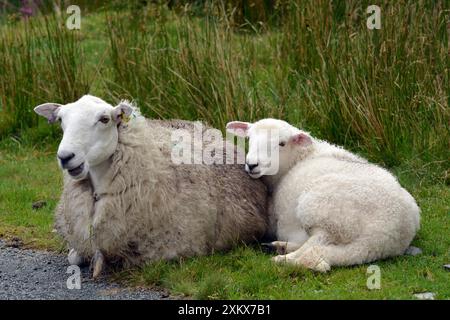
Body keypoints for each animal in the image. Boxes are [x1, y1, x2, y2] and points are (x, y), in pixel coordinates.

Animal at [35, 95, 268, 278]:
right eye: (61, 120)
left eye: (104, 119)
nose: (65, 157)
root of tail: (206, 127)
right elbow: (74, 257)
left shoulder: (166, 247)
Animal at [227, 119, 420, 272]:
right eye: (249, 139)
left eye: (282, 143)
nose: (252, 165)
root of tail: (388, 233)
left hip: (325, 213)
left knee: (315, 246)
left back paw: (283, 258)